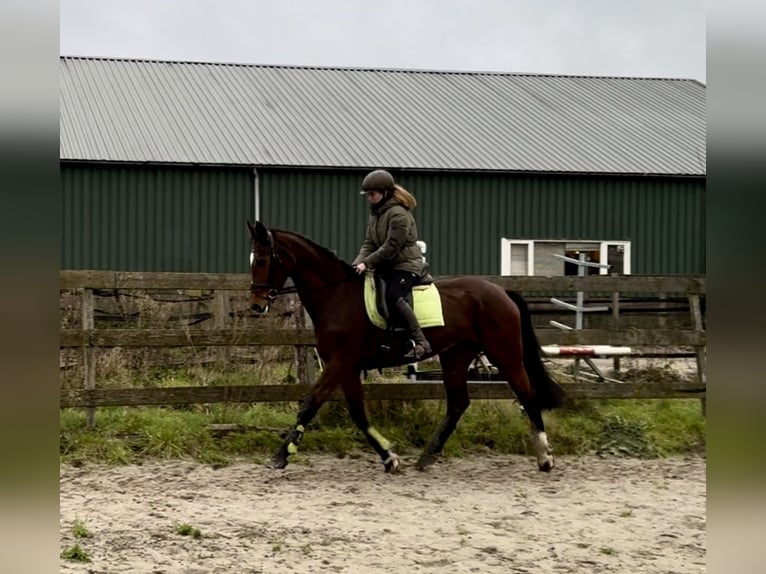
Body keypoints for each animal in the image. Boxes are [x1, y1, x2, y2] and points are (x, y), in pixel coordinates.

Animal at [249, 220, 568, 472]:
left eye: (262, 260)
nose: (256, 306)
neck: (336, 295)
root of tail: (501, 290)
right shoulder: (346, 367)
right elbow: (357, 412)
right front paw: (389, 458)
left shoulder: (340, 363)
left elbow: (310, 404)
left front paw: (281, 456)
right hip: (456, 355)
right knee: (458, 404)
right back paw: (427, 457)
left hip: (505, 353)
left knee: (527, 394)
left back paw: (545, 458)